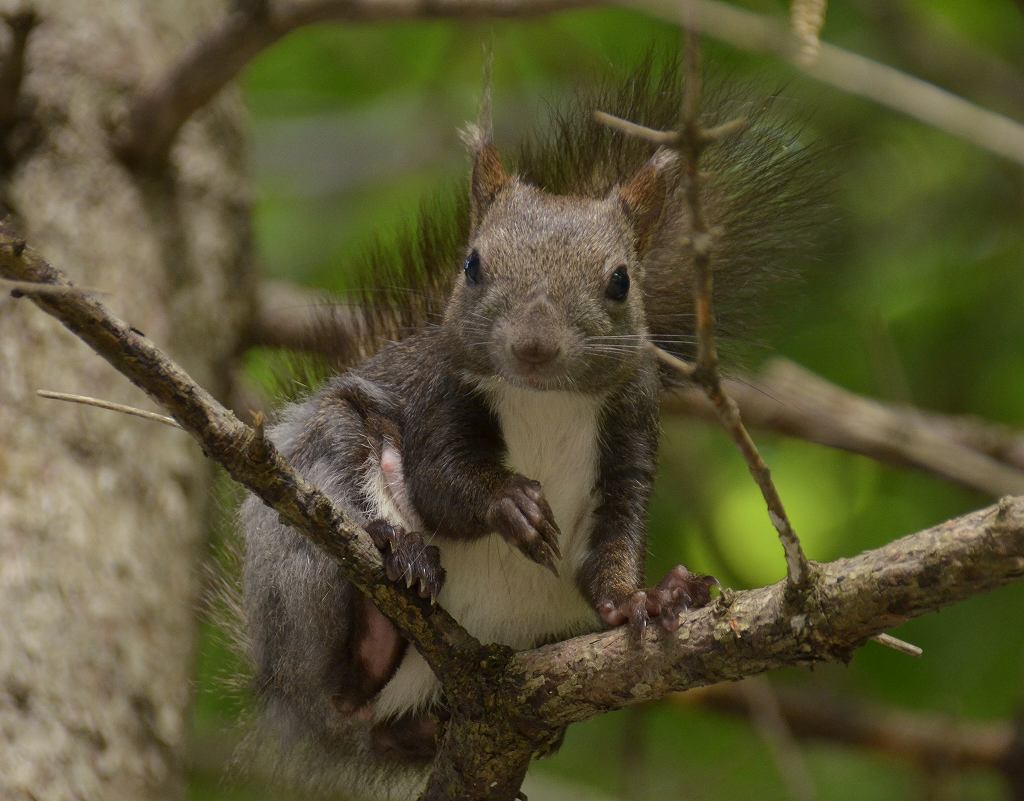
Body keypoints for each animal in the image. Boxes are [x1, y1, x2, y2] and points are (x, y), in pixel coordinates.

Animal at [234, 58, 823, 782]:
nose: (534, 347)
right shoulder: (437, 400)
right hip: (311, 520)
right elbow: (441, 483)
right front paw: (509, 502)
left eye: (622, 280)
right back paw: (386, 592)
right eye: (472, 264)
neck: (545, 401)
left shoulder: (629, 439)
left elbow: (613, 546)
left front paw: (646, 599)